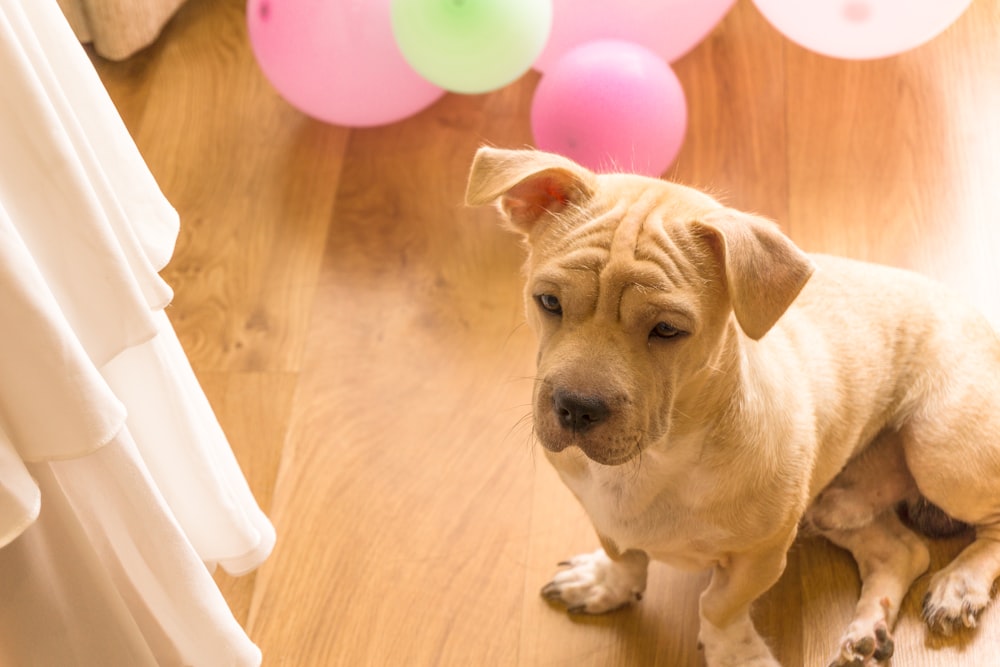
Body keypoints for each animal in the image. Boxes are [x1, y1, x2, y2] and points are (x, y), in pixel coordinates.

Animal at [464, 147, 1000, 667]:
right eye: (548, 301)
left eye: (667, 330)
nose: (575, 408)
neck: (658, 459)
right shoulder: (598, 510)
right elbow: (623, 554)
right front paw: (607, 583)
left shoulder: (759, 556)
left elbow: (719, 606)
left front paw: (736, 653)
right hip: (834, 504)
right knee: (902, 550)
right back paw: (868, 630)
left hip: (941, 451)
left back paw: (959, 586)